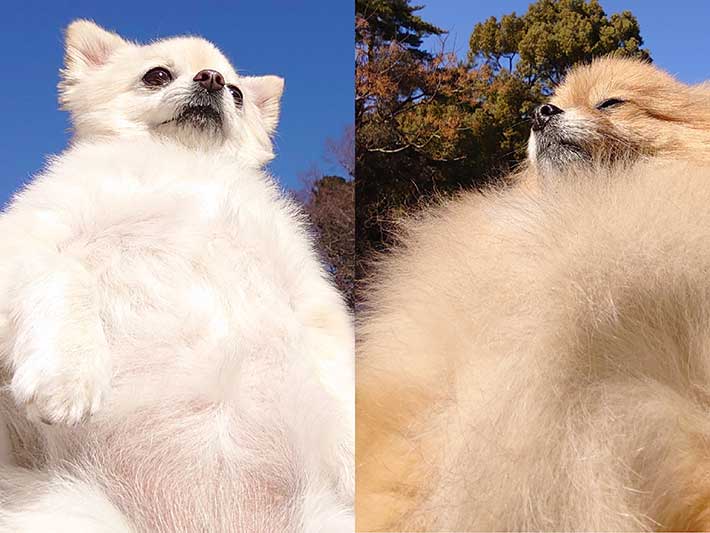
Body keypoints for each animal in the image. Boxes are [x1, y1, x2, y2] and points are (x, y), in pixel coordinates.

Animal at [0, 18, 354, 528]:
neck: (188, 163)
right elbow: (66, 275)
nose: (212, 79)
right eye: (157, 75)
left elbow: (341, 374)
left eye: (238, 93)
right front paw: (68, 373)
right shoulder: (30, 234)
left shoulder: (308, 294)